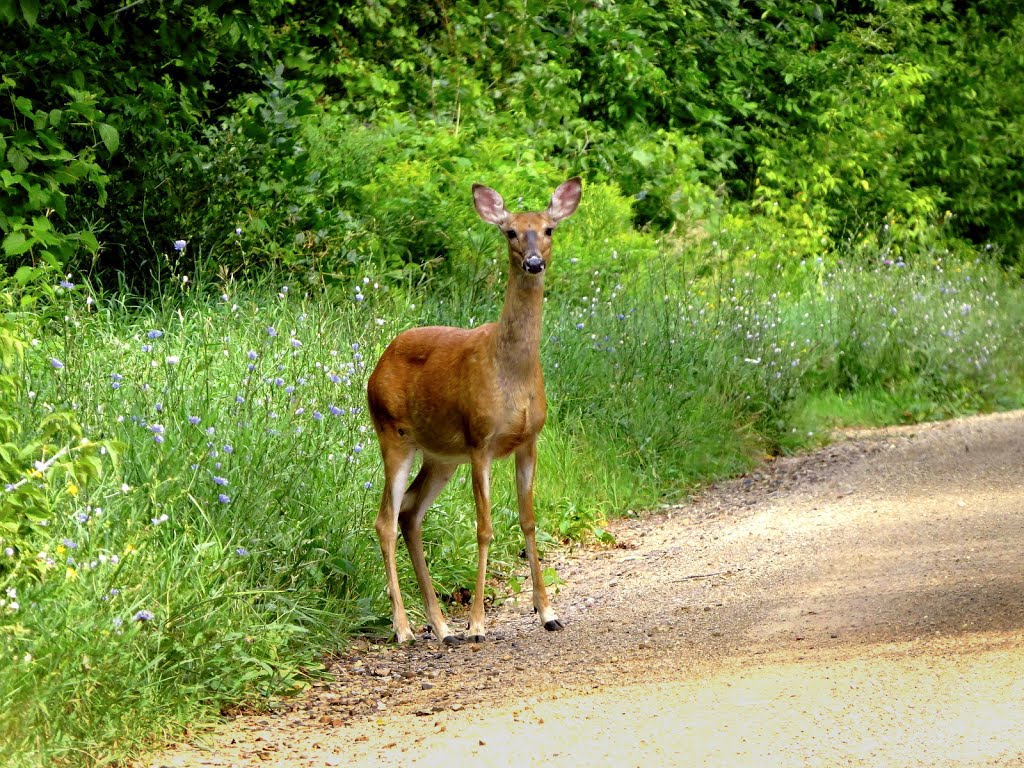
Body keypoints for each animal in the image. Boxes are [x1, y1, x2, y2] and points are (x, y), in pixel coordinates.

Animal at [368, 177, 581, 647]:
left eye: (548, 229)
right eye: (510, 232)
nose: (534, 263)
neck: (511, 372)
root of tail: (377, 365)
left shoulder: (529, 440)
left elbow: (528, 521)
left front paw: (548, 612)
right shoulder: (481, 440)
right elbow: (484, 528)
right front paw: (478, 623)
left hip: (441, 455)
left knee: (411, 512)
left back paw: (442, 626)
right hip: (393, 433)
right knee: (385, 519)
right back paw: (405, 628)